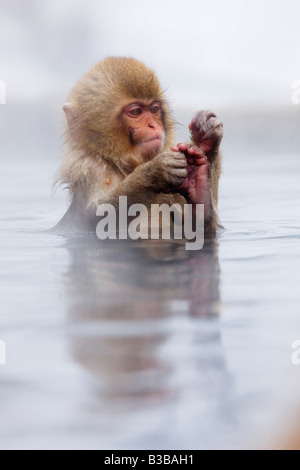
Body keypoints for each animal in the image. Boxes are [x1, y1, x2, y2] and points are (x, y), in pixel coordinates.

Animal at [55, 57, 223, 237]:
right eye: (136, 112)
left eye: (154, 109)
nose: (152, 125)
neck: (122, 166)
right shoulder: (88, 167)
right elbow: (96, 218)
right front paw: (155, 172)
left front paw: (204, 146)